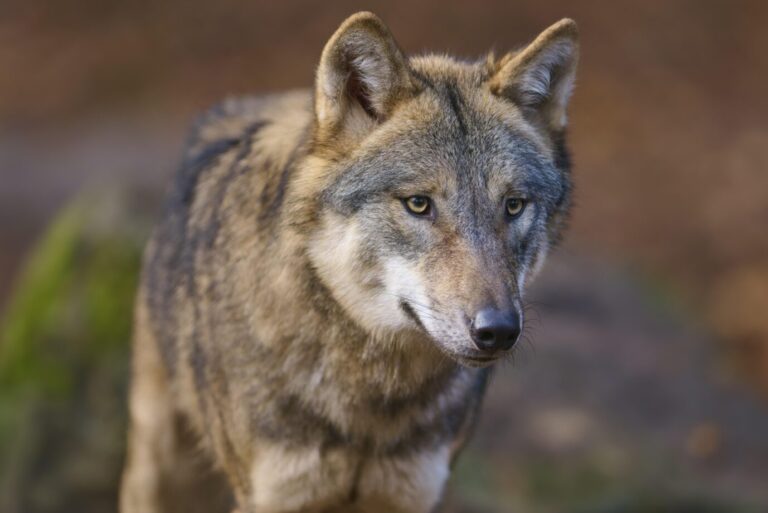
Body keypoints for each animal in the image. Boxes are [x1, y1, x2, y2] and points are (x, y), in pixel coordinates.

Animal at [120, 11, 578, 513]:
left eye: (513, 206)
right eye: (419, 204)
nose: (497, 330)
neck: (371, 404)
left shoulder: (412, 496)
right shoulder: (274, 498)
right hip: (163, 469)